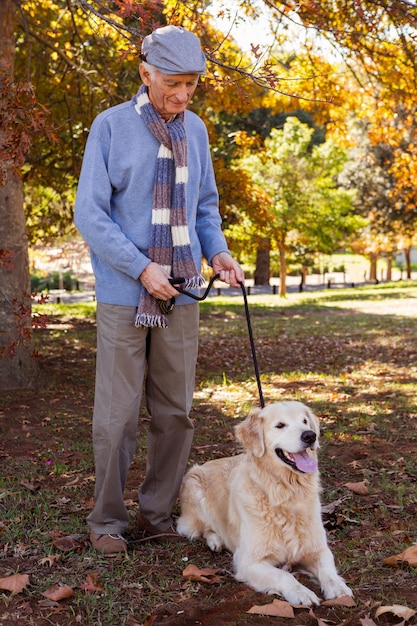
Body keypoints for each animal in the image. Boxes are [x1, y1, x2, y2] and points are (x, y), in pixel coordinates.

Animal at [177, 400, 352, 604]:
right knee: (204, 529)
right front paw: (301, 592)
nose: (310, 436)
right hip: (194, 489)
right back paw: (216, 541)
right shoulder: (248, 561)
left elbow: (328, 570)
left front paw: (338, 587)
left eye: (305, 421)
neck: (286, 494)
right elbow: (284, 575)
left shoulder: (318, 549)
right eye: (280, 425)